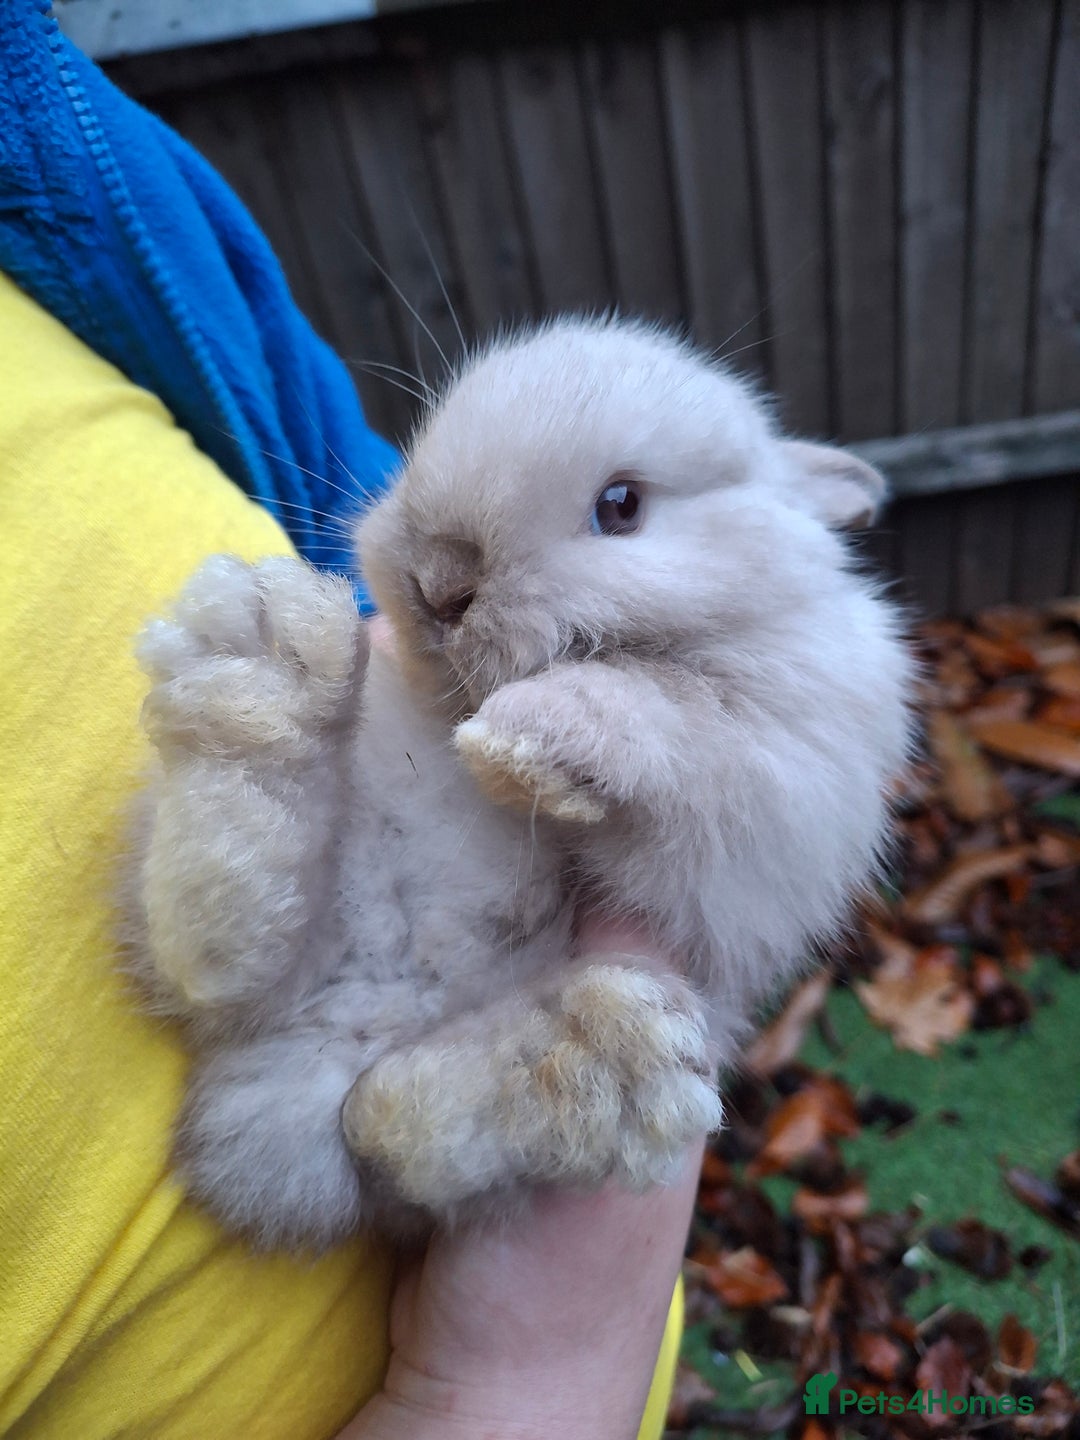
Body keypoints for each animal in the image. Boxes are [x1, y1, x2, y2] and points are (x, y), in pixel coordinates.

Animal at [127, 316, 914, 1251]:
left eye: (622, 506)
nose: (439, 582)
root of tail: (320, 1034)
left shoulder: (780, 777)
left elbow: (662, 706)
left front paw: (526, 740)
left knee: (383, 1123)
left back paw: (595, 1063)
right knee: (226, 955)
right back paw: (257, 667)